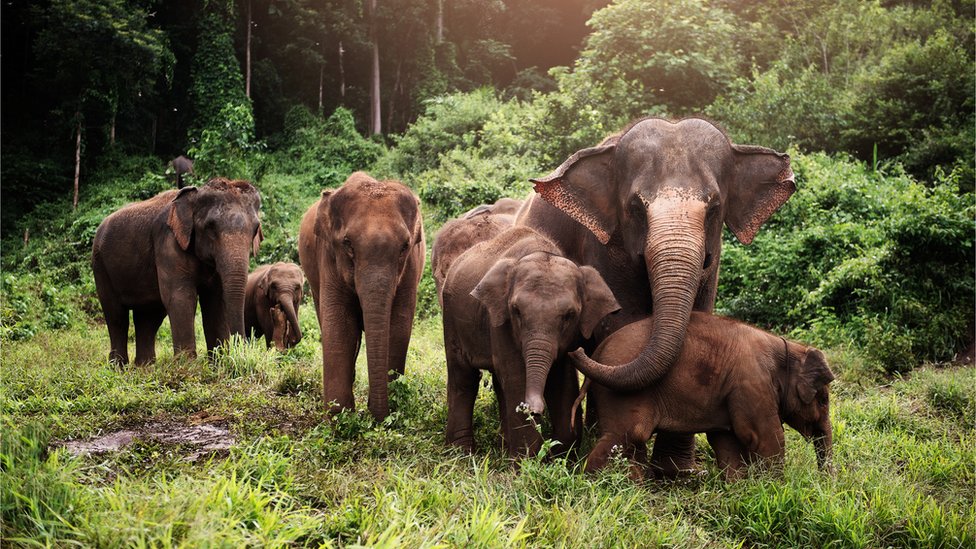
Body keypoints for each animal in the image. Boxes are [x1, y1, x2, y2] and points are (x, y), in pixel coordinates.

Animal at [92, 178, 263, 365]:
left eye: (255, 228)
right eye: (210, 227)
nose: (242, 356)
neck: (195, 195)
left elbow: (216, 301)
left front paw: (218, 364)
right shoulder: (168, 243)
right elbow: (181, 298)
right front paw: (188, 367)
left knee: (148, 316)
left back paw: (144, 367)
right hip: (100, 266)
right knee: (116, 316)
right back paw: (118, 366)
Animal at [298, 172, 425, 420]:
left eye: (404, 246)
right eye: (347, 244)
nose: (377, 416)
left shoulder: (410, 266)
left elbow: (398, 326)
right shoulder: (329, 257)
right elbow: (340, 326)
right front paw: (340, 417)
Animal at [441, 226, 620, 457]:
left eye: (569, 315)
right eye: (516, 310)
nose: (534, 409)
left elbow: (562, 381)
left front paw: (560, 455)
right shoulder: (500, 321)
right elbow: (517, 377)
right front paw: (525, 460)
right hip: (451, 318)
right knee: (463, 377)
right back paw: (461, 453)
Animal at [516, 116, 795, 475]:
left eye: (715, 207)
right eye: (635, 207)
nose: (576, 349)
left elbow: (698, 317)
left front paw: (678, 473)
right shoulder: (605, 248)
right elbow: (621, 324)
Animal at [580, 313, 834, 481]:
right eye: (823, 401)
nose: (825, 485)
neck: (788, 347)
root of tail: (598, 349)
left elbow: (727, 440)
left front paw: (740, 488)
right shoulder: (752, 383)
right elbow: (766, 438)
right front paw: (775, 488)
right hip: (622, 395)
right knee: (626, 436)